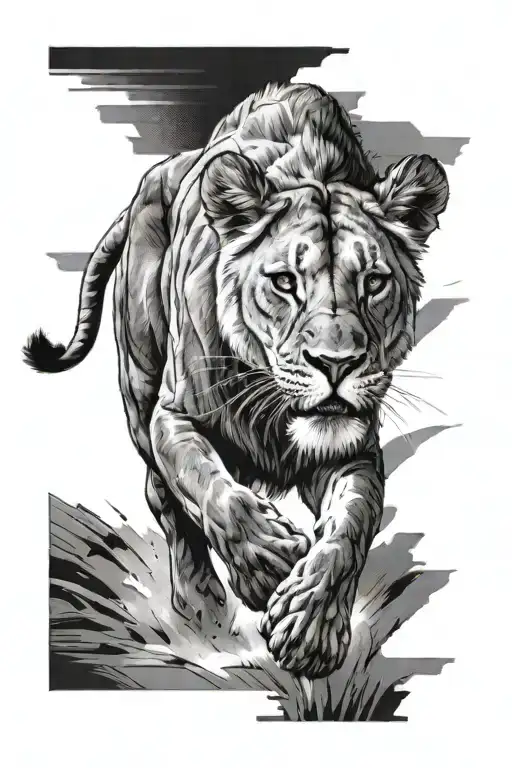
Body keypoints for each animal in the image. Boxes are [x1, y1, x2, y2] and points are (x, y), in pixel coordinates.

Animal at [24, 82, 449, 678]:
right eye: (285, 282)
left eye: (374, 282)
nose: (336, 363)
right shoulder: (172, 414)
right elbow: (210, 486)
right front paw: (268, 563)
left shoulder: (354, 448)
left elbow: (350, 526)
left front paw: (311, 628)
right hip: (139, 386)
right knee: (165, 499)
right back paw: (202, 616)